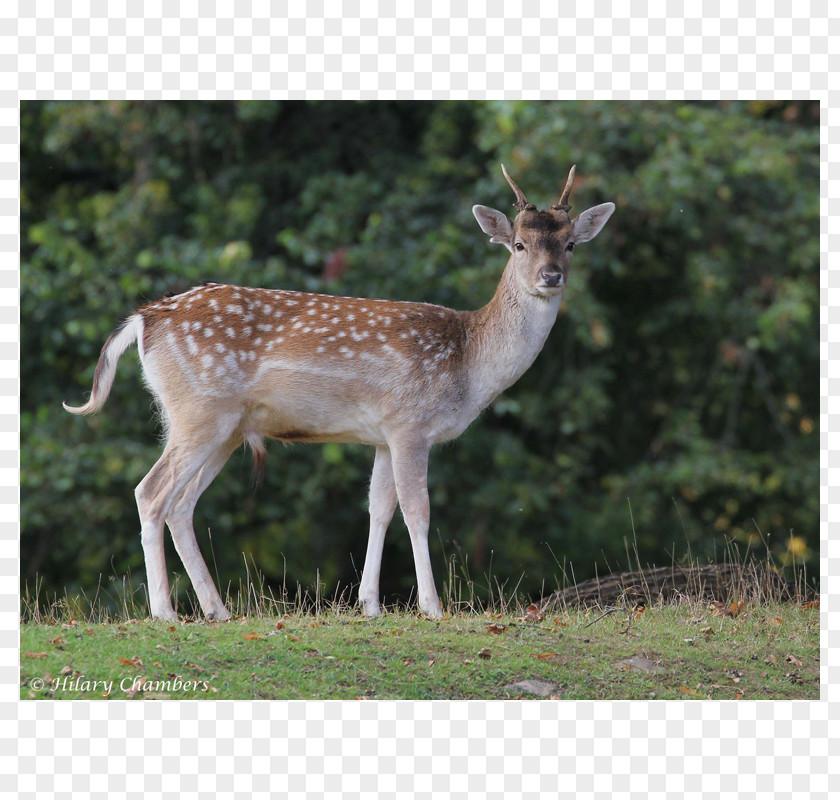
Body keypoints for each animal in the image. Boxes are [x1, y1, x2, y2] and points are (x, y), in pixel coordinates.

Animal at [62, 166, 612, 620]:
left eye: (570, 245)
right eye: (518, 245)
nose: (550, 276)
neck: (469, 363)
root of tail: (145, 319)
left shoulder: (383, 435)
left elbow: (379, 509)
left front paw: (369, 603)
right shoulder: (410, 423)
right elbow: (417, 511)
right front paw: (432, 606)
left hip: (225, 426)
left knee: (180, 503)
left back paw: (216, 609)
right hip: (198, 408)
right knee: (150, 492)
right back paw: (164, 612)